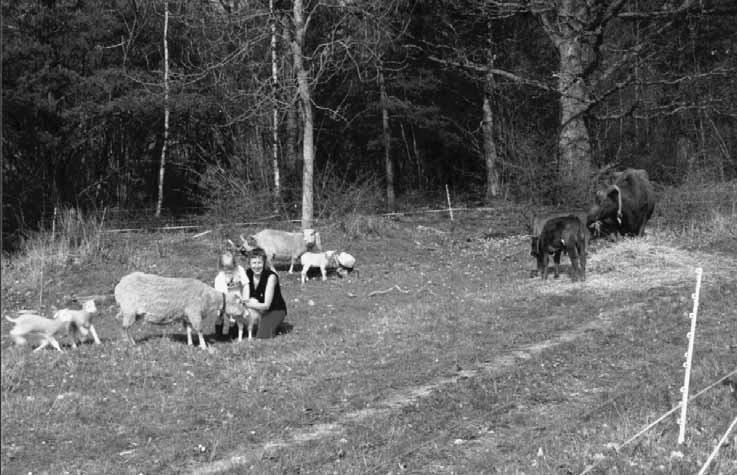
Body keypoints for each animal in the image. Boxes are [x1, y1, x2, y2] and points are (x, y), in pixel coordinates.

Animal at [113, 272, 243, 350]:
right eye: (241, 303)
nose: (244, 313)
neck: (209, 298)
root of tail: (120, 284)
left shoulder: (186, 315)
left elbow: (188, 329)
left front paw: (190, 344)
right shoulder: (194, 312)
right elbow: (199, 330)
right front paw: (203, 346)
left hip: (129, 311)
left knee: (122, 324)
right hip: (129, 309)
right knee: (125, 328)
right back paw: (131, 343)